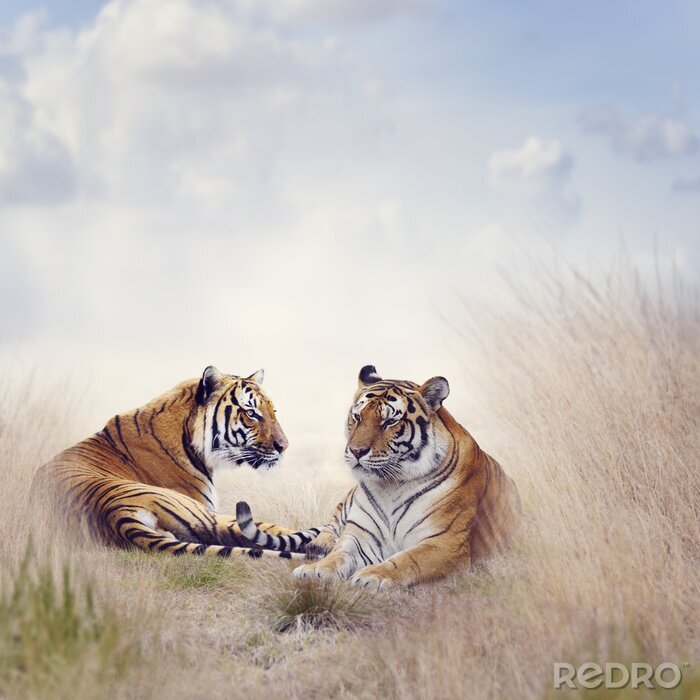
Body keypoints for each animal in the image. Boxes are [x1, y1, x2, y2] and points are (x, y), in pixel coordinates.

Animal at [236, 365, 522, 589]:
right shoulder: (360, 535)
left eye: (390, 422)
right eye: (357, 417)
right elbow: (339, 554)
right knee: (330, 527)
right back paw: (318, 546)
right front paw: (315, 570)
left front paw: (372, 576)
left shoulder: (445, 543)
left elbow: (407, 559)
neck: (392, 485)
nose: (356, 451)